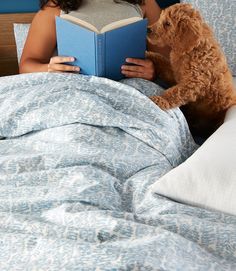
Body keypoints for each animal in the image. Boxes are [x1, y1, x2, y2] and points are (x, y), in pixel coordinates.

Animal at [146, 3, 236, 137]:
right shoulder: (175, 74)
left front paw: (159, 100)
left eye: (167, 23)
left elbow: (174, 93)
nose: (147, 29)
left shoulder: (194, 82)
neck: (192, 50)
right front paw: (147, 54)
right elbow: (161, 60)